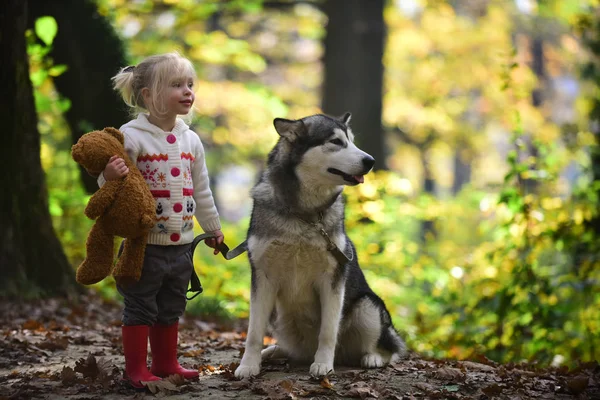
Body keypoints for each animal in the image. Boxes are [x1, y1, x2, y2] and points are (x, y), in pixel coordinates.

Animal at [232, 112, 406, 378]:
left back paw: (372, 357)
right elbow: (253, 332)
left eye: (352, 141)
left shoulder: (332, 279)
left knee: (389, 349)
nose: (371, 161)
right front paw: (248, 365)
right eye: (336, 142)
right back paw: (273, 351)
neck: (304, 214)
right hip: (278, 317)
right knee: (289, 348)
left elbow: (328, 331)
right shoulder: (262, 277)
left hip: (367, 307)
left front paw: (323, 364)